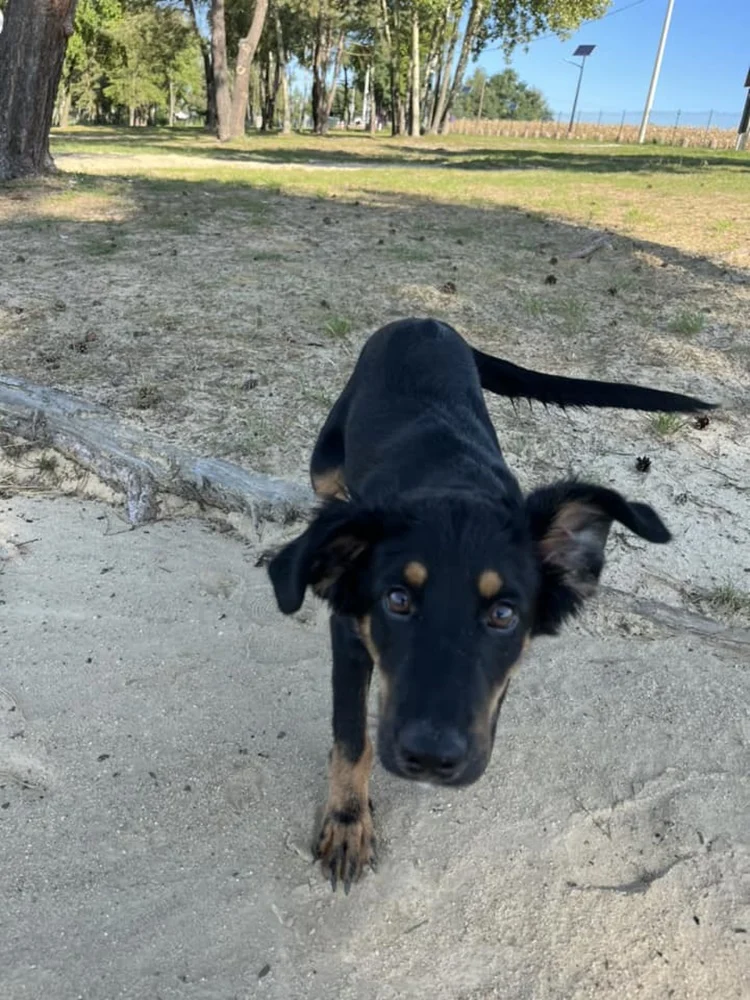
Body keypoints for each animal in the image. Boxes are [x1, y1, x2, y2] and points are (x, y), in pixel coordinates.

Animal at [267, 318, 715, 892]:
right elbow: (351, 738)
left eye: (503, 614)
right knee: (327, 492)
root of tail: (424, 320)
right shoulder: (348, 634)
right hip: (325, 459)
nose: (431, 758)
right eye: (397, 599)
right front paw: (348, 823)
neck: (453, 485)